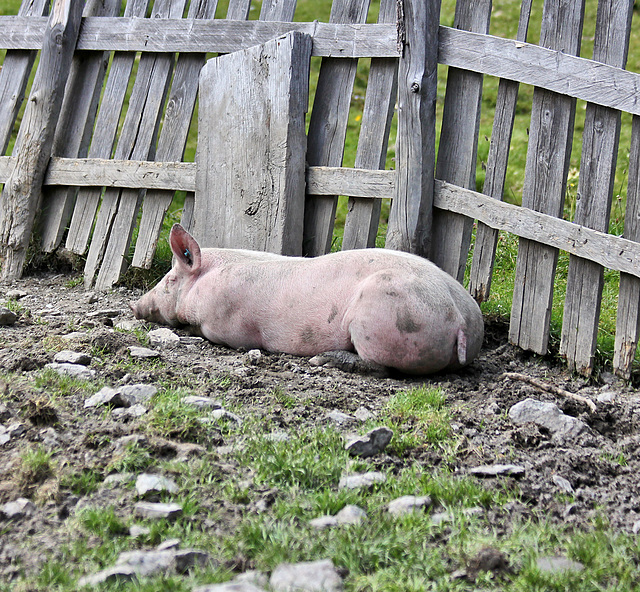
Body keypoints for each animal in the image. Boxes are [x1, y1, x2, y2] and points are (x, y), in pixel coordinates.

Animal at [130, 223, 482, 374]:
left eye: (169, 280)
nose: (135, 305)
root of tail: (463, 320)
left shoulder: (227, 327)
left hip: (386, 318)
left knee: (382, 367)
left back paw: (323, 360)